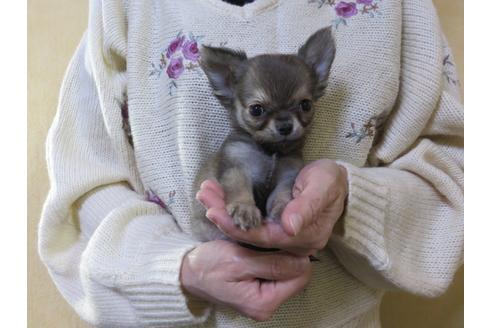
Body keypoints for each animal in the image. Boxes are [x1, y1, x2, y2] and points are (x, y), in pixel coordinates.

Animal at [191, 27, 334, 241]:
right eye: (256, 110)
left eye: (306, 105)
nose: (285, 126)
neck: (270, 151)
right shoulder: (237, 167)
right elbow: (240, 187)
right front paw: (245, 209)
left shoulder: (288, 174)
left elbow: (282, 192)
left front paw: (282, 207)